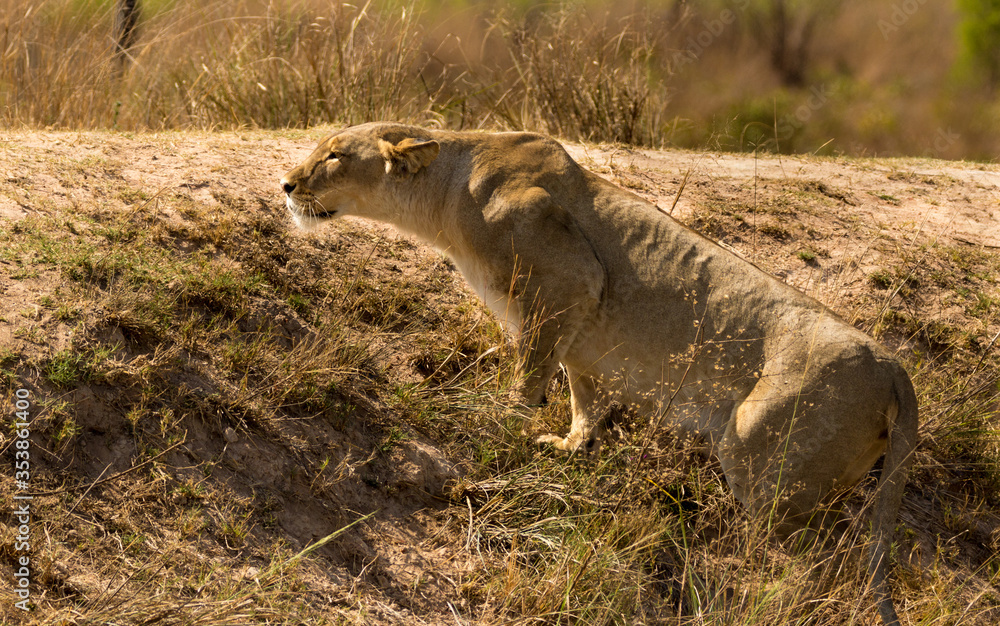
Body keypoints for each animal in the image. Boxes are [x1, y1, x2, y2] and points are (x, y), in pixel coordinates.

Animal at [280, 122, 917, 625]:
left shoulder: (567, 280)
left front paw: (497, 427)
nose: (286, 184)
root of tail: (894, 367)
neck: (448, 191)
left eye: (335, 155)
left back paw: (765, 590)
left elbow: (527, 378)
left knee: (819, 563)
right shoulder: (580, 334)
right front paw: (568, 447)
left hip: (763, 456)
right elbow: (580, 397)